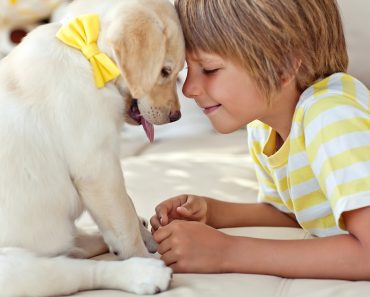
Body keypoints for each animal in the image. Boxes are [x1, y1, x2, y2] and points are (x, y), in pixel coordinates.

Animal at [0, 0, 185, 294]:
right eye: (164, 72)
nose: (176, 116)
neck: (84, 53)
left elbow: (126, 205)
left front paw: (144, 234)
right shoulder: (98, 169)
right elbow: (123, 219)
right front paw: (140, 252)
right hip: (11, 269)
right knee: (78, 271)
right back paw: (144, 272)